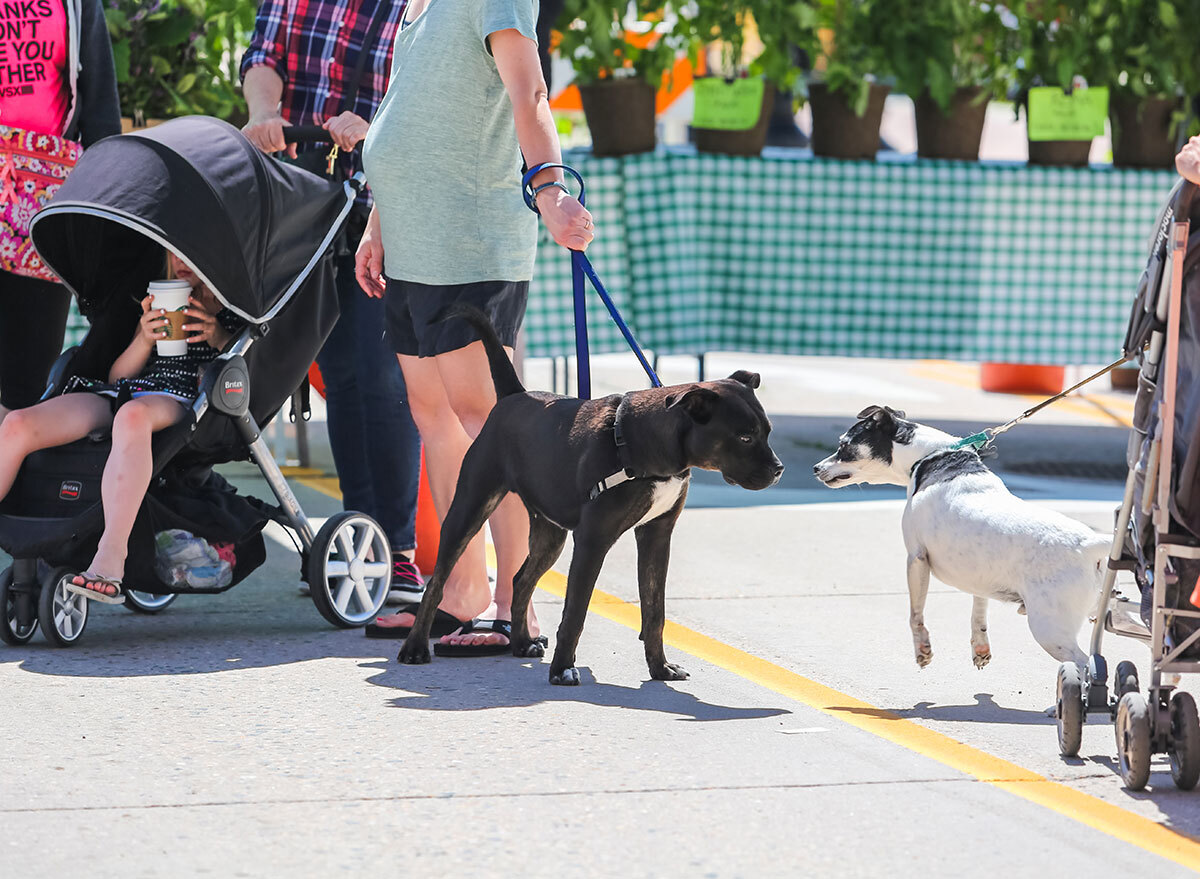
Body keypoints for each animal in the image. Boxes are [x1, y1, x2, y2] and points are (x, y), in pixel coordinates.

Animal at [398, 309, 782, 686]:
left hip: (549, 533)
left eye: (767, 431)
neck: (646, 445)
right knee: (437, 582)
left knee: (521, 580)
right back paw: (414, 648)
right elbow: (575, 612)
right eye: (744, 437)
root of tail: (512, 396)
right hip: (471, 505)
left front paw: (660, 669)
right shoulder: (592, 540)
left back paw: (522, 642)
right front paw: (562, 670)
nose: (778, 469)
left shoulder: (657, 535)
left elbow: (654, 610)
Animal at [816, 408, 1104, 667]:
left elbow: (915, 614)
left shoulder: (917, 559)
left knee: (1083, 664)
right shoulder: (979, 577)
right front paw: (980, 647)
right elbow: (978, 610)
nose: (816, 468)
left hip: (1050, 628)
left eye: (844, 445)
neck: (933, 456)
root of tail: (1090, 545)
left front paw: (922, 649)